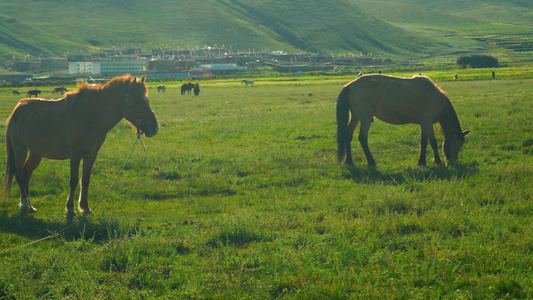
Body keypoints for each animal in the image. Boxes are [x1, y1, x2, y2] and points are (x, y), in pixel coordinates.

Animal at [4, 74, 159, 220]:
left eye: (147, 100)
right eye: (137, 101)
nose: (155, 127)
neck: (90, 117)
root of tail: (17, 109)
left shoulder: (91, 155)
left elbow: (85, 180)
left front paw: (85, 209)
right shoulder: (75, 154)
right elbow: (73, 181)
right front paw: (70, 209)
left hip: (36, 153)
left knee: (26, 173)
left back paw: (30, 207)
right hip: (20, 149)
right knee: (18, 172)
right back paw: (24, 205)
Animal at [336, 73, 470, 166]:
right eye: (458, 145)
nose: (452, 162)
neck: (435, 97)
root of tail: (350, 86)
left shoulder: (428, 123)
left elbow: (433, 142)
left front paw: (437, 160)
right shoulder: (425, 122)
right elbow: (424, 141)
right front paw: (422, 162)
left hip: (355, 117)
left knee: (348, 136)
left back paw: (349, 161)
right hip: (365, 119)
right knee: (362, 138)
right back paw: (371, 162)